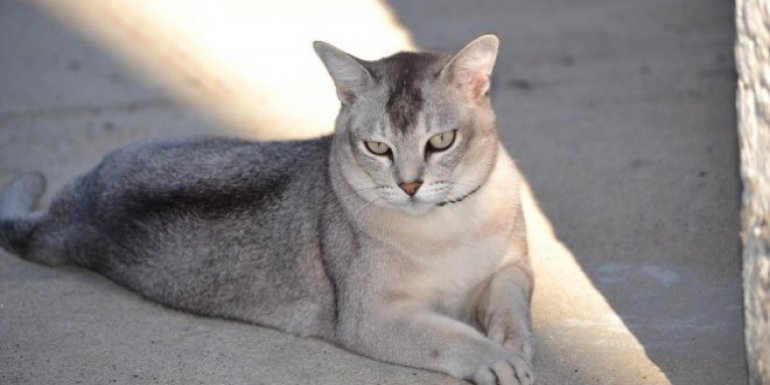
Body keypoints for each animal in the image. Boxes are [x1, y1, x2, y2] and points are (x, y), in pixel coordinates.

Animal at [0, 36, 536, 384]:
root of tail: (74, 209)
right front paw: (494, 358)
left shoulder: (514, 267)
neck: (451, 226)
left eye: (441, 141)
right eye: (377, 148)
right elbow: (449, 337)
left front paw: (514, 338)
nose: (409, 185)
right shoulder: (370, 319)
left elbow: (512, 298)